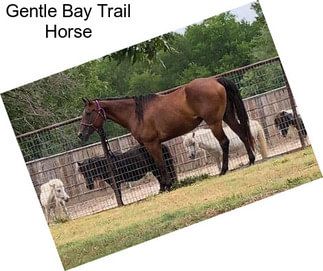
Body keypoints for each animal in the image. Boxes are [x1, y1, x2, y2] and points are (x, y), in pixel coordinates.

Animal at [78, 76, 256, 191]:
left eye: (88, 113)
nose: (80, 134)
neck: (136, 113)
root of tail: (215, 80)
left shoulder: (151, 144)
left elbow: (160, 165)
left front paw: (166, 186)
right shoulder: (150, 145)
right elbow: (158, 165)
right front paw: (164, 185)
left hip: (214, 122)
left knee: (224, 142)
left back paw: (224, 170)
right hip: (228, 116)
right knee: (242, 134)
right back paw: (251, 160)